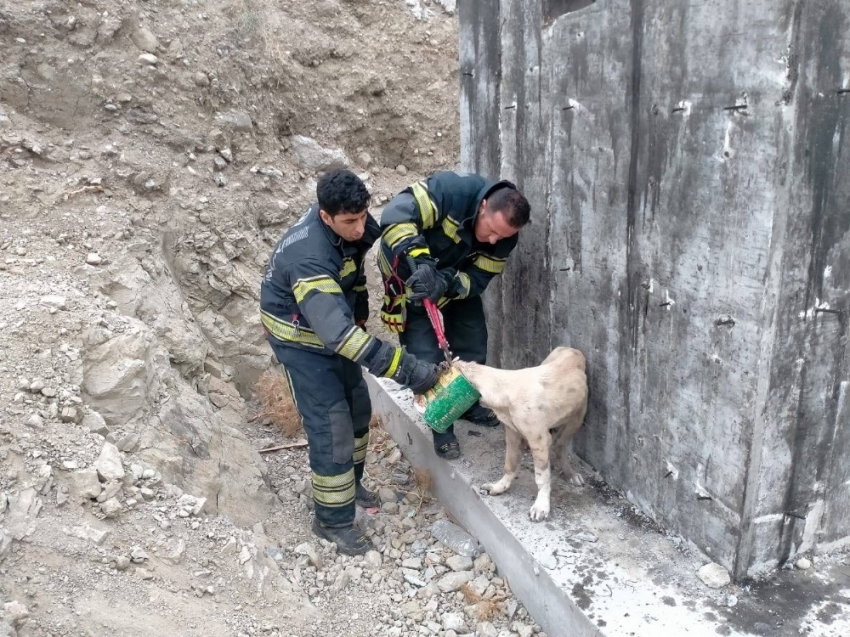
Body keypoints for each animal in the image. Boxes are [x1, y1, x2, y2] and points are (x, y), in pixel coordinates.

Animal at [454, 348, 588, 520]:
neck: (502, 388)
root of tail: (571, 349)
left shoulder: (539, 441)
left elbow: (542, 477)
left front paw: (541, 505)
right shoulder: (512, 434)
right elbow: (509, 465)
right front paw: (499, 487)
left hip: (577, 417)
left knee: (560, 445)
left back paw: (570, 473)